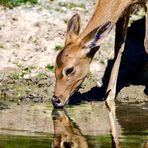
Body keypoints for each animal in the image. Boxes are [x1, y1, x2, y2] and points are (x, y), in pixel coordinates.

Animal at [51, 0, 147, 147]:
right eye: (54, 67)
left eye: (69, 69)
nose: (55, 100)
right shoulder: (124, 11)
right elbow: (119, 46)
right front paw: (109, 97)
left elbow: (146, 43)